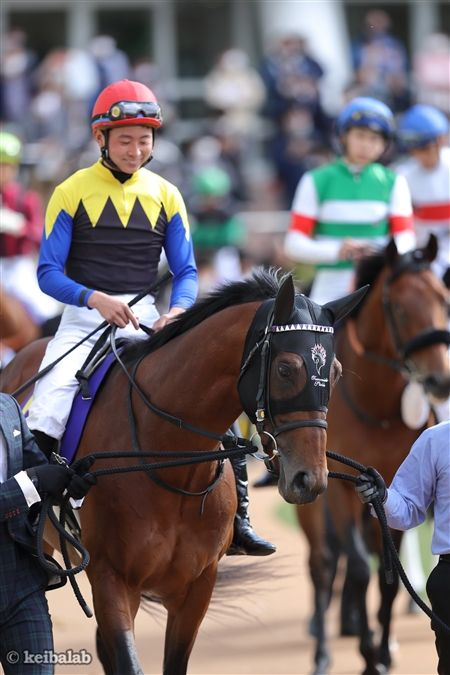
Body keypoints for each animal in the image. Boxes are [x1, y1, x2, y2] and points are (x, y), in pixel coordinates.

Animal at [0, 269, 366, 675]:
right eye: (286, 368)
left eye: (335, 373)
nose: (310, 479)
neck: (170, 466)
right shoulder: (112, 579)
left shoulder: (198, 586)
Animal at [296, 236, 450, 675]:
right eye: (398, 307)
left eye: (444, 298)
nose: (440, 379)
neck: (374, 405)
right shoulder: (338, 489)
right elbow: (362, 569)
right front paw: (367, 654)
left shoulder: (391, 481)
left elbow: (387, 574)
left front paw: (381, 651)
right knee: (323, 563)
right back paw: (323, 652)